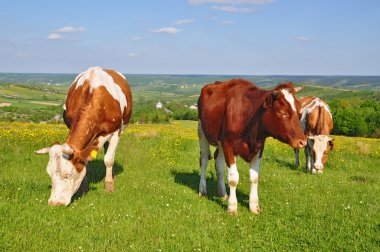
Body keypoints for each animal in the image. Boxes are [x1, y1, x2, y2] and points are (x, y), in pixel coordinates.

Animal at [35, 67, 132, 207]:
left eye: (69, 174)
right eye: (49, 173)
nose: (54, 203)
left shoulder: (115, 132)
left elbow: (109, 159)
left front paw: (109, 186)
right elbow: (86, 160)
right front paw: (84, 186)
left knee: (109, 152)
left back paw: (112, 176)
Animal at [197, 79, 308, 215]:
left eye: (299, 112)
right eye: (282, 113)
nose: (303, 141)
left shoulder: (258, 148)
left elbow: (254, 177)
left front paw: (254, 206)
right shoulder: (228, 144)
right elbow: (233, 178)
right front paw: (232, 207)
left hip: (220, 142)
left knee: (218, 161)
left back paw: (223, 193)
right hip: (202, 132)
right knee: (203, 161)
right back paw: (202, 190)